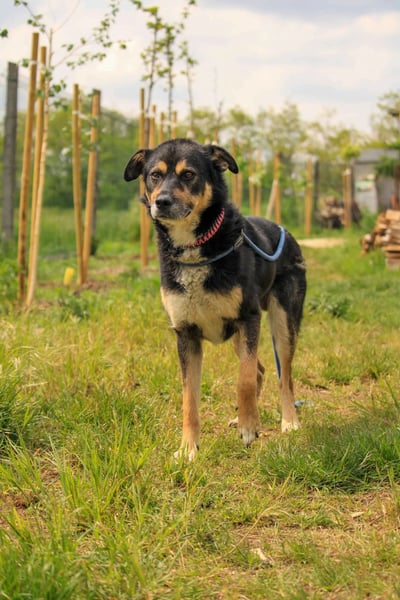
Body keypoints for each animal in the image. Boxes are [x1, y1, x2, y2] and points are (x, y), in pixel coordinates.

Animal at [124, 139, 306, 460]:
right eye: (154, 176)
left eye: (188, 175)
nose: (162, 202)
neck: (195, 247)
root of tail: (287, 233)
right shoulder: (185, 334)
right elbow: (189, 399)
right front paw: (187, 448)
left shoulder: (248, 318)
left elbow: (244, 380)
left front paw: (249, 427)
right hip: (240, 337)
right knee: (260, 369)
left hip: (281, 324)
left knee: (283, 375)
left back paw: (289, 421)